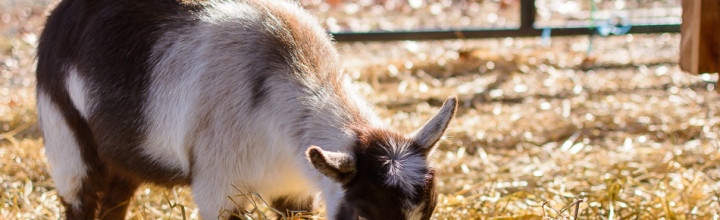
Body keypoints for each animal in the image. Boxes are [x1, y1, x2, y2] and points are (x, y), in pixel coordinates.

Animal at [36, 0, 456, 219]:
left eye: (428, 211)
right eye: (365, 214)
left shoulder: (293, 190)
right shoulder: (218, 189)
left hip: (122, 161)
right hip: (67, 144)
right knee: (80, 198)